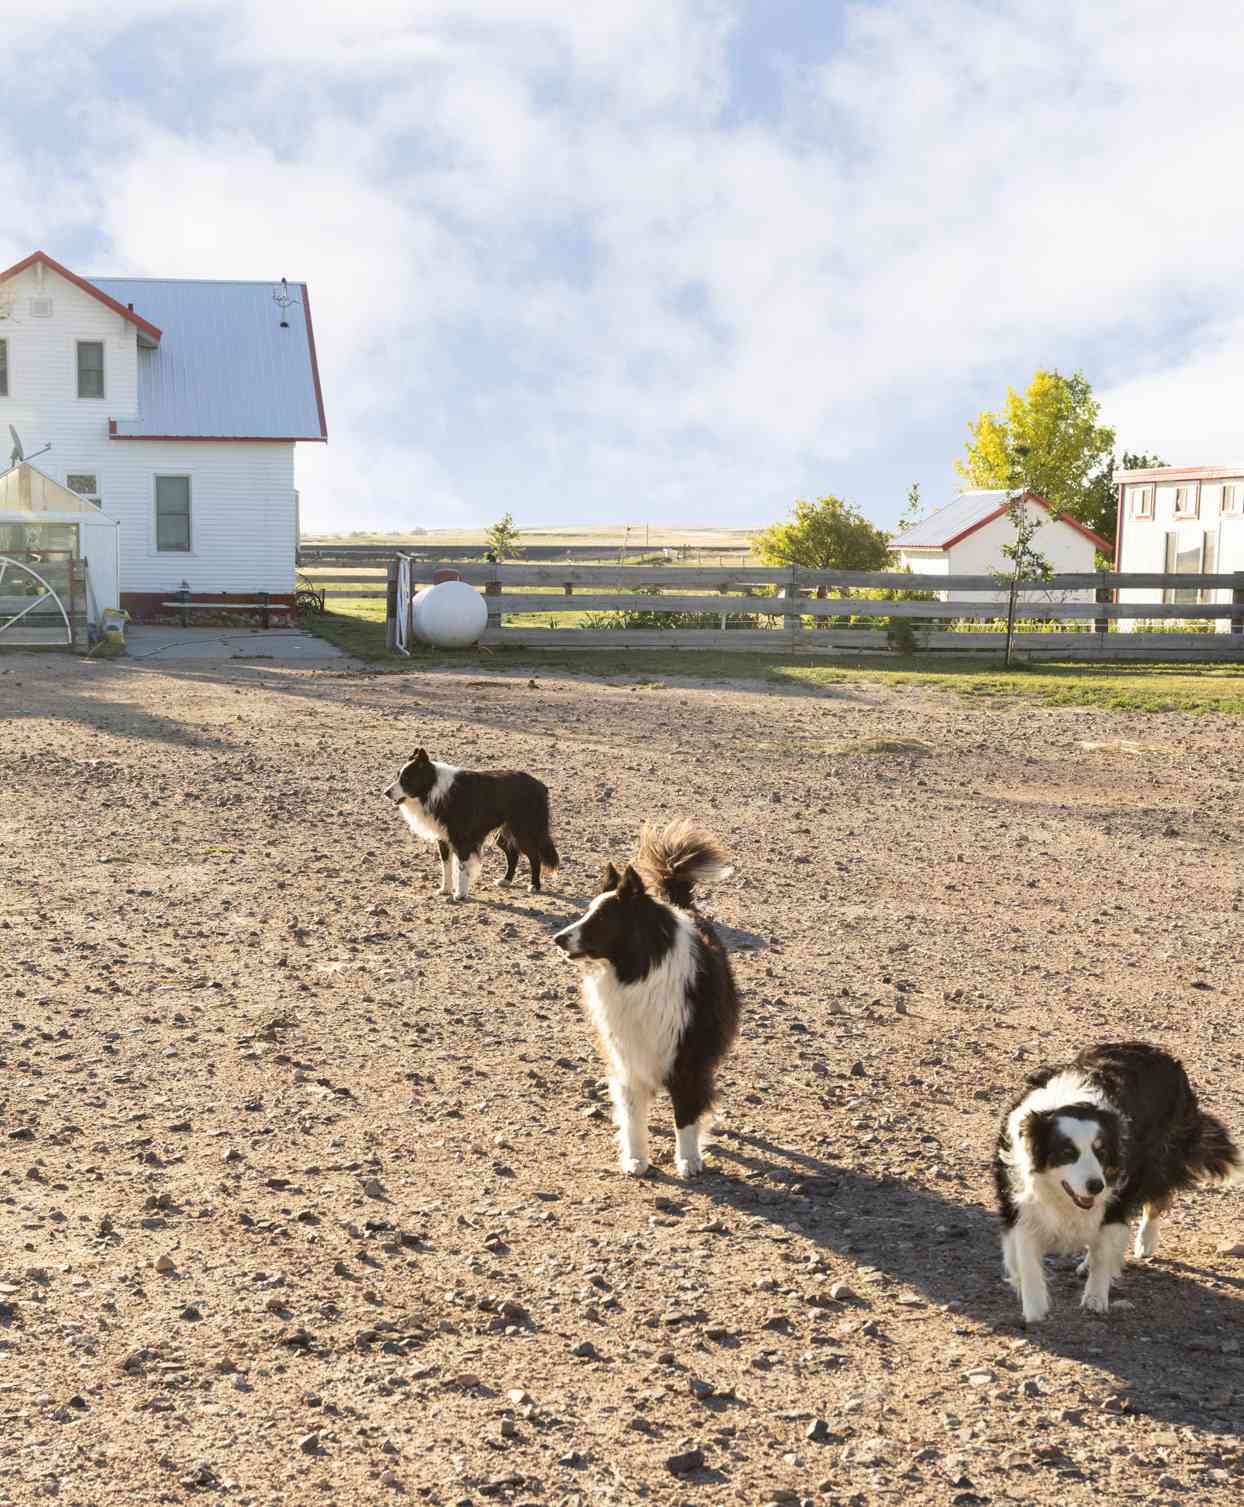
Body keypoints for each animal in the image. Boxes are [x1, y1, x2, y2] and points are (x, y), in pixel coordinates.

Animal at [381, 747, 560, 898]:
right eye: (397, 776)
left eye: (406, 779)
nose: (386, 793)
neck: (433, 788)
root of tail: (540, 785)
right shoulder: (443, 838)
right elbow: (446, 867)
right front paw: (445, 889)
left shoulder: (462, 840)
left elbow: (461, 867)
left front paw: (460, 894)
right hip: (504, 833)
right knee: (513, 854)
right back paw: (506, 880)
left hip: (524, 831)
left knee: (534, 856)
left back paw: (534, 885)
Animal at [551, 825, 738, 1175]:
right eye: (586, 912)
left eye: (600, 920)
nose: (557, 938)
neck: (639, 971)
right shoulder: (627, 1055)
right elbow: (633, 1115)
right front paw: (636, 1158)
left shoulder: (688, 1058)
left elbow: (686, 1114)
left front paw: (688, 1160)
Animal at [995, 1048, 1236, 1320]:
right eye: (1067, 1152)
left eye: (1100, 1152)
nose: (1095, 1186)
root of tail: (1161, 1054)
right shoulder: (1019, 1200)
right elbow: (1025, 1257)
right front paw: (1034, 1309)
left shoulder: (1117, 1194)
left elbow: (1104, 1251)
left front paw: (1095, 1298)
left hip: (1160, 1157)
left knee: (1156, 1198)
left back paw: (1145, 1241)